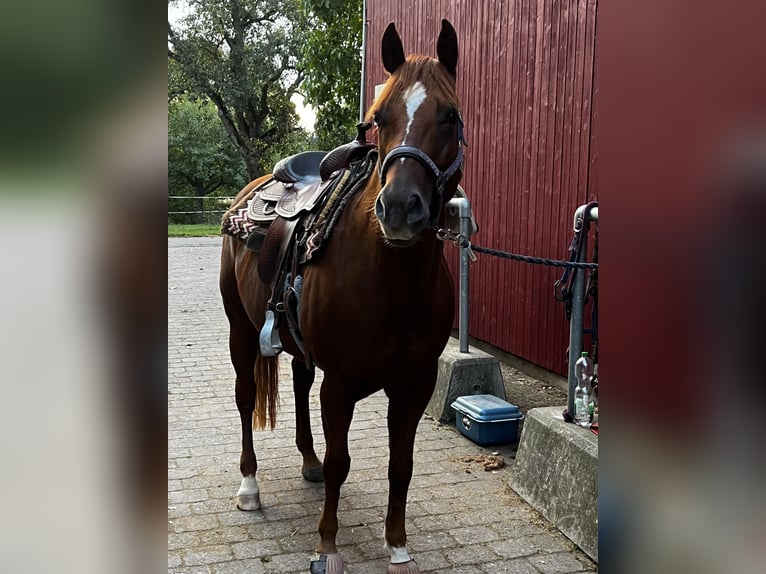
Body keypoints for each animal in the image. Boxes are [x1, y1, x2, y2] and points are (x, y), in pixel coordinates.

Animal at [219, 19, 464, 574]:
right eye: (379, 118)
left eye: (451, 116)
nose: (399, 207)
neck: (392, 282)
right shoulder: (343, 383)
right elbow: (340, 463)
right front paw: (327, 547)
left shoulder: (415, 384)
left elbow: (402, 465)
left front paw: (397, 545)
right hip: (241, 330)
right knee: (245, 399)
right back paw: (249, 486)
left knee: (299, 382)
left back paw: (305, 460)